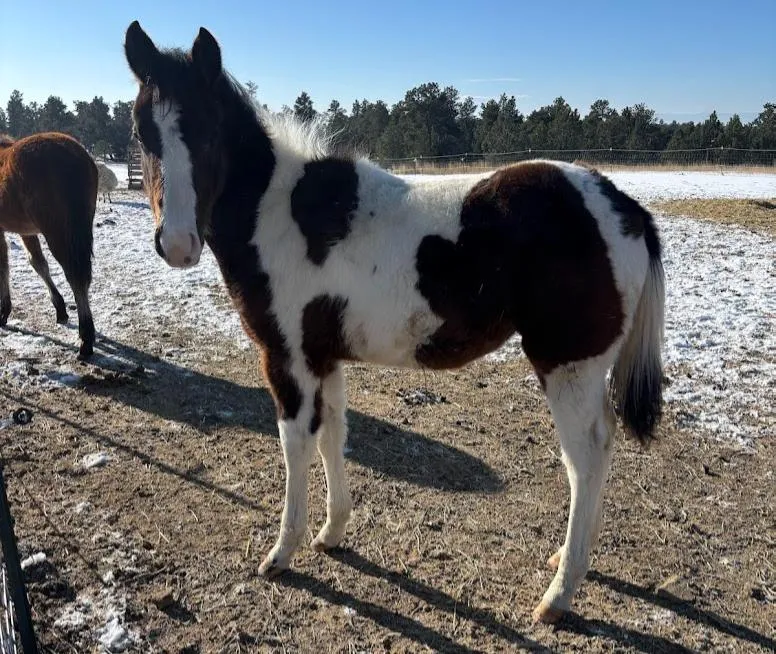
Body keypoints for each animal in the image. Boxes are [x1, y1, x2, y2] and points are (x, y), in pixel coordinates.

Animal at [0, 132, 97, 359]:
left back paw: (85, 339)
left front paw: (3, 311)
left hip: (58, 233)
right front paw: (60, 308)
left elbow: (3, 266)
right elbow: (38, 263)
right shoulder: (27, 231)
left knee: (75, 277)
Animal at [124, 22, 665, 623]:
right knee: (603, 448)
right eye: (142, 129)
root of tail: (625, 208)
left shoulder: (287, 359)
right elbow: (333, 435)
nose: (177, 244)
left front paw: (281, 553)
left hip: (567, 365)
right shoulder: (323, 357)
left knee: (586, 459)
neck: (282, 214)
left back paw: (557, 595)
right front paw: (332, 533)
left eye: (209, 128)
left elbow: (295, 446)